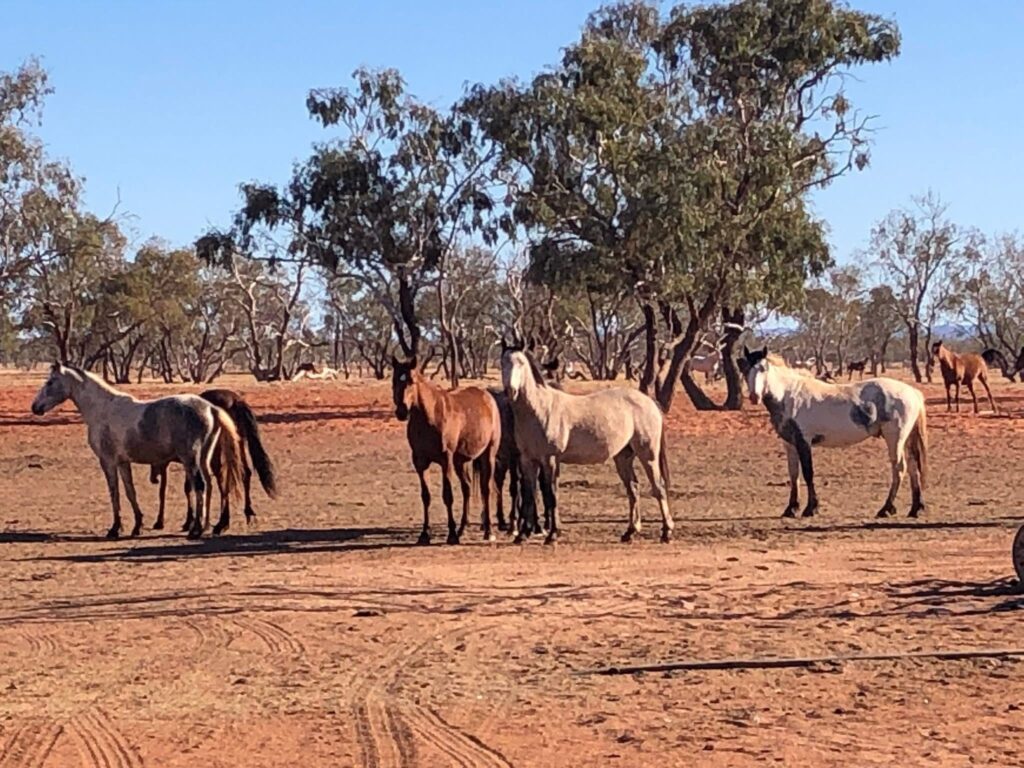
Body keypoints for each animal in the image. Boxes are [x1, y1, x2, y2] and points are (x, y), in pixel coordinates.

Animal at [30, 362, 244, 539]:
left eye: (50, 382)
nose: (35, 407)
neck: (103, 409)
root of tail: (210, 408)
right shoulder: (123, 462)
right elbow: (130, 491)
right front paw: (137, 526)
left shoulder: (108, 462)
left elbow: (114, 492)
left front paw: (115, 529)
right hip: (203, 459)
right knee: (209, 485)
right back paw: (206, 526)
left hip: (191, 459)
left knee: (199, 485)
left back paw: (196, 529)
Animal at [149, 389, 278, 535]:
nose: (153, 478)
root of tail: (236, 400)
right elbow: (188, 487)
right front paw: (189, 521)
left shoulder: (177, 462)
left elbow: (166, 490)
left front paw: (164, 522)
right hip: (237, 443)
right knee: (245, 473)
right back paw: (247, 514)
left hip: (219, 449)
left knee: (222, 479)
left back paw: (222, 523)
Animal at [392, 355, 502, 545]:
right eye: (394, 380)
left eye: (411, 381)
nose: (402, 412)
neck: (429, 417)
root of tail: (488, 397)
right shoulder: (420, 462)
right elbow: (426, 496)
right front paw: (424, 534)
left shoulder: (446, 460)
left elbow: (447, 495)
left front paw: (451, 534)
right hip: (460, 462)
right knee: (467, 488)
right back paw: (462, 529)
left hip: (488, 455)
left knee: (485, 489)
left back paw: (488, 531)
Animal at [500, 343, 673, 544]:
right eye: (503, 362)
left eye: (521, 363)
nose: (510, 391)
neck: (540, 409)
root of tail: (649, 401)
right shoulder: (528, 460)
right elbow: (529, 494)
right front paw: (522, 535)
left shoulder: (550, 459)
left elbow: (551, 495)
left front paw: (552, 535)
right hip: (623, 457)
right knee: (633, 489)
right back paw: (630, 532)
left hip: (648, 455)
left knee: (658, 487)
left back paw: (666, 532)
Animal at [740, 346, 927, 519]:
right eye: (746, 369)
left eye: (763, 368)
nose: (754, 397)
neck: (789, 396)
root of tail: (913, 392)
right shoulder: (789, 444)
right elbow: (794, 475)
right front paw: (791, 509)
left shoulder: (804, 442)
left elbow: (808, 473)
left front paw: (811, 509)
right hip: (905, 439)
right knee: (913, 468)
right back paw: (915, 509)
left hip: (895, 439)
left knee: (900, 469)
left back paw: (886, 509)